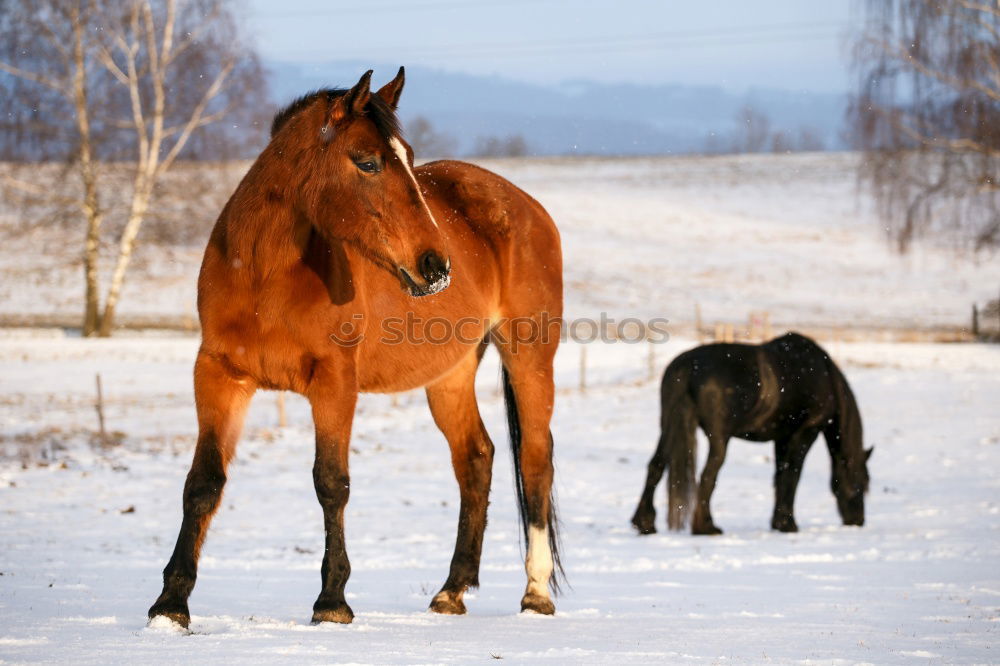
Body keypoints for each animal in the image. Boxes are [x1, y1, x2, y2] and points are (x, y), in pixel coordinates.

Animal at [152, 65, 568, 624]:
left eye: (409, 157)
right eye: (368, 162)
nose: (436, 266)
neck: (264, 276)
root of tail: (525, 205)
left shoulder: (334, 382)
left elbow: (331, 483)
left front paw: (332, 601)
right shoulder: (218, 374)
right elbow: (203, 482)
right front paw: (170, 604)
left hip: (530, 358)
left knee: (536, 461)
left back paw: (536, 592)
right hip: (450, 375)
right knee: (476, 459)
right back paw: (451, 591)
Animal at [632, 332, 876, 536]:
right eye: (861, 483)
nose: (858, 520)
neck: (825, 376)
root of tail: (686, 367)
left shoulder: (782, 438)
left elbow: (780, 475)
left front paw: (778, 522)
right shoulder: (805, 433)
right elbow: (793, 475)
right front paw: (788, 524)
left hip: (669, 429)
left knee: (656, 466)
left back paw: (645, 523)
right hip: (718, 439)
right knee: (708, 475)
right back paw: (706, 527)